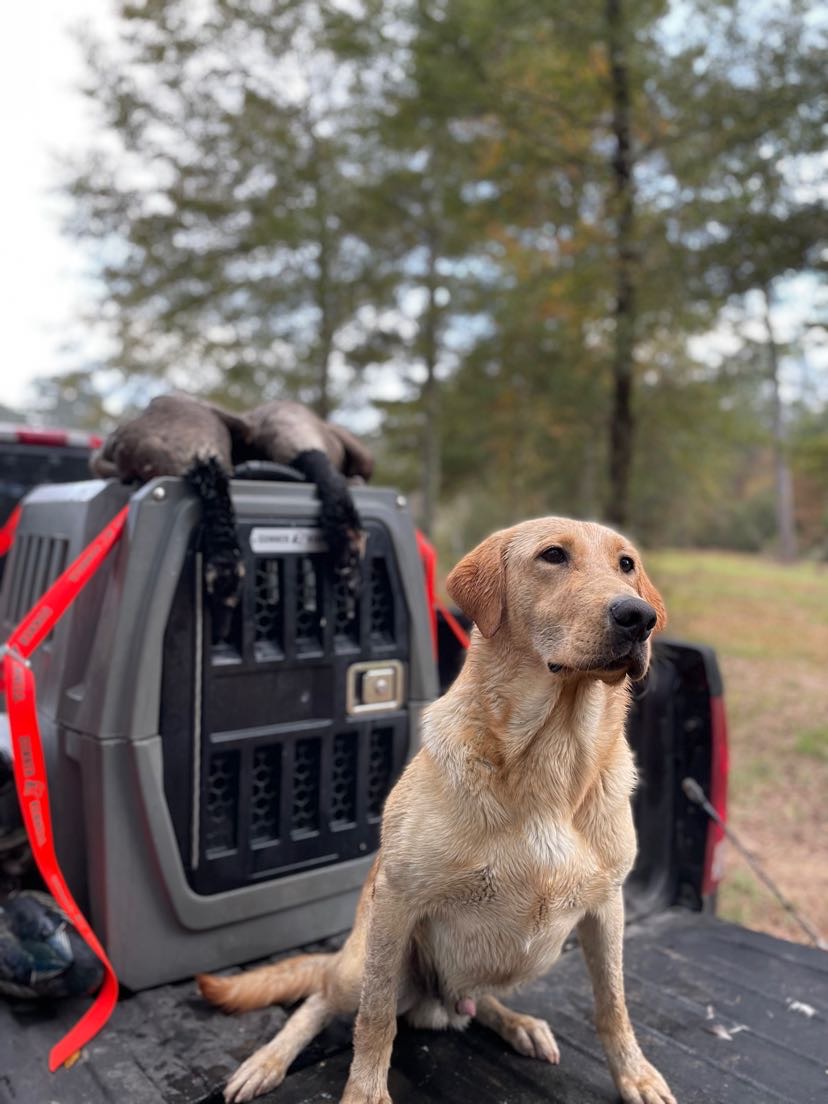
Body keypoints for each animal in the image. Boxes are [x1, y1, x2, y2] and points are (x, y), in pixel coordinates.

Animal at [197, 516, 675, 1104]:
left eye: (626, 564)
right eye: (553, 555)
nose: (639, 617)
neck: (553, 759)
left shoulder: (607, 907)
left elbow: (613, 1005)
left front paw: (634, 1075)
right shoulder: (398, 901)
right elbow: (375, 1020)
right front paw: (364, 1093)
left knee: (476, 1001)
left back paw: (517, 1023)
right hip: (360, 964)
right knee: (323, 999)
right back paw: (267, 1061)